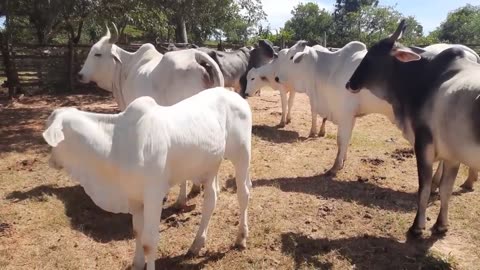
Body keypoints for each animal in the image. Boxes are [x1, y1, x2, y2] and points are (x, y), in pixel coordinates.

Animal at [42, 87, 251, 268]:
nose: (51, 161)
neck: (116, 145)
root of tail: (233, 94)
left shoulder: (154, 196)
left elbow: (150, 241)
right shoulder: (134, 197)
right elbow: (137, 231)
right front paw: (137, 263)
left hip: (241, 154)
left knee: (244, 194)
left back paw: (241, 237)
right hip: (210, 166)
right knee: (211, 199)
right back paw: (196, 244)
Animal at [274, 40, 394, 175]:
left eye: (291, 57)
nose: (276, 78)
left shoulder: (345, 113)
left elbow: (341, 139)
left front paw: (336, 165)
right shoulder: (351, 115)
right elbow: (347, 139)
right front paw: (343, 160)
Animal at [344, 19, 480, 235]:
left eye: (371, 55)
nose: (350, 83)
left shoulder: (423, 143)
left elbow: (423, 188)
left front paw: (417, 226)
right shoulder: (452, 154)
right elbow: (446, 190)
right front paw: (441, 225)